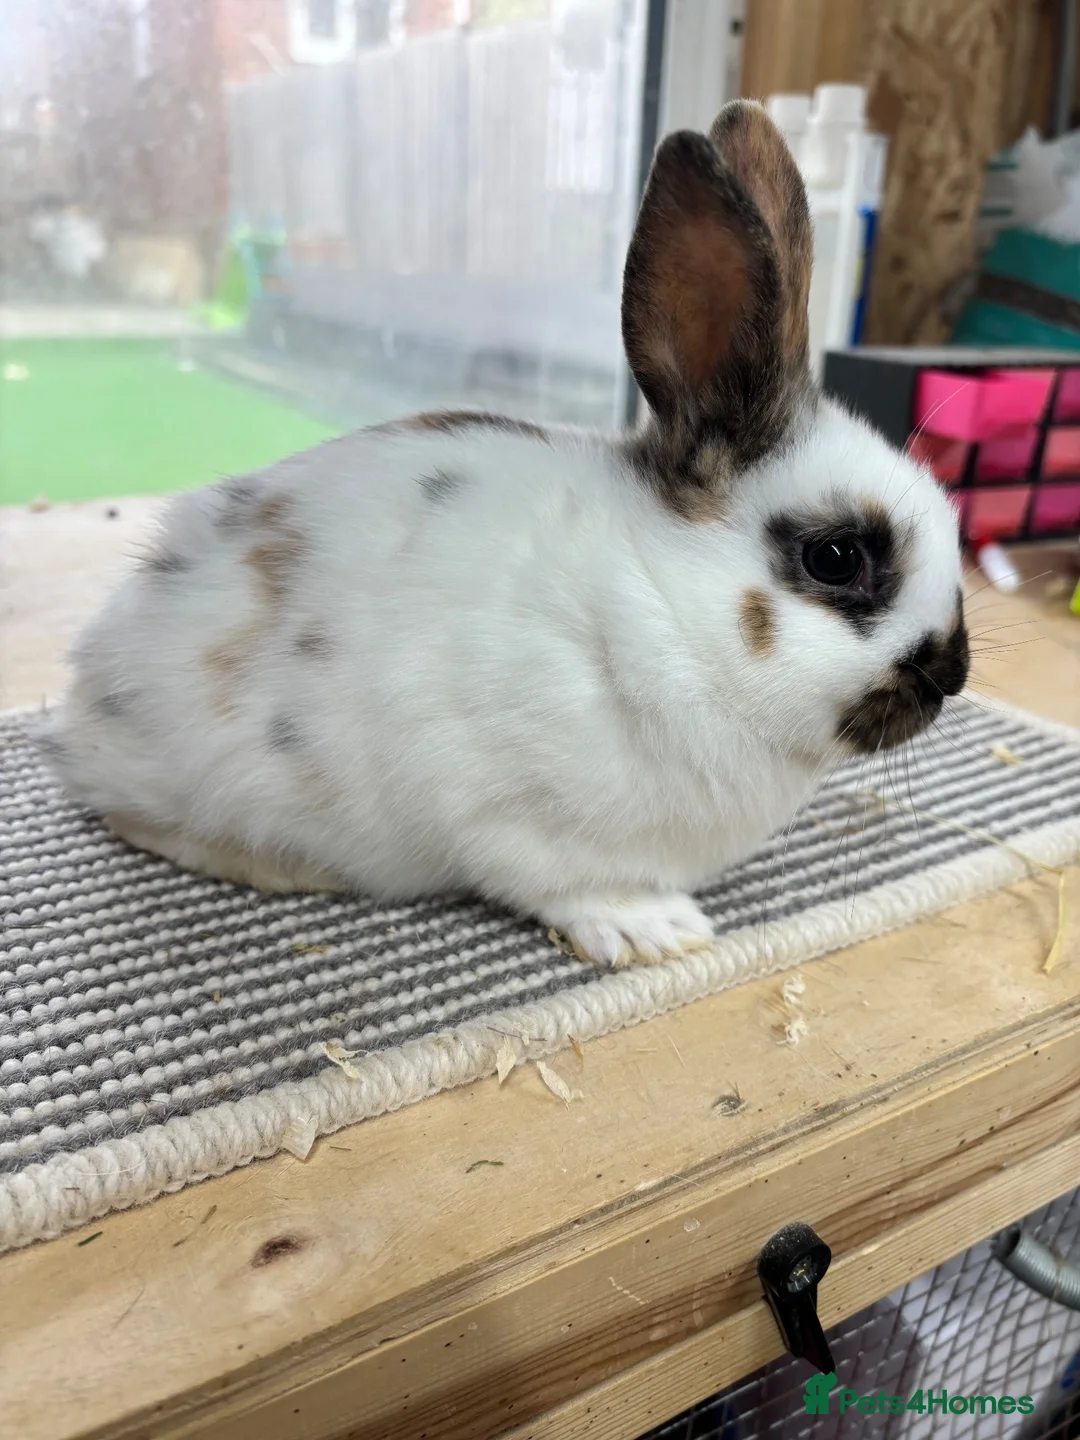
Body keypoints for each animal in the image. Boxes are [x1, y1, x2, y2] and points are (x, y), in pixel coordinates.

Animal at [42, 100, 969, 968]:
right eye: (836, 557)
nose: (954, 674)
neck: (655, 604)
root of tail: (92, 676)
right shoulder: (508, 814)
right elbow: (557, 880)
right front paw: (656, 930)